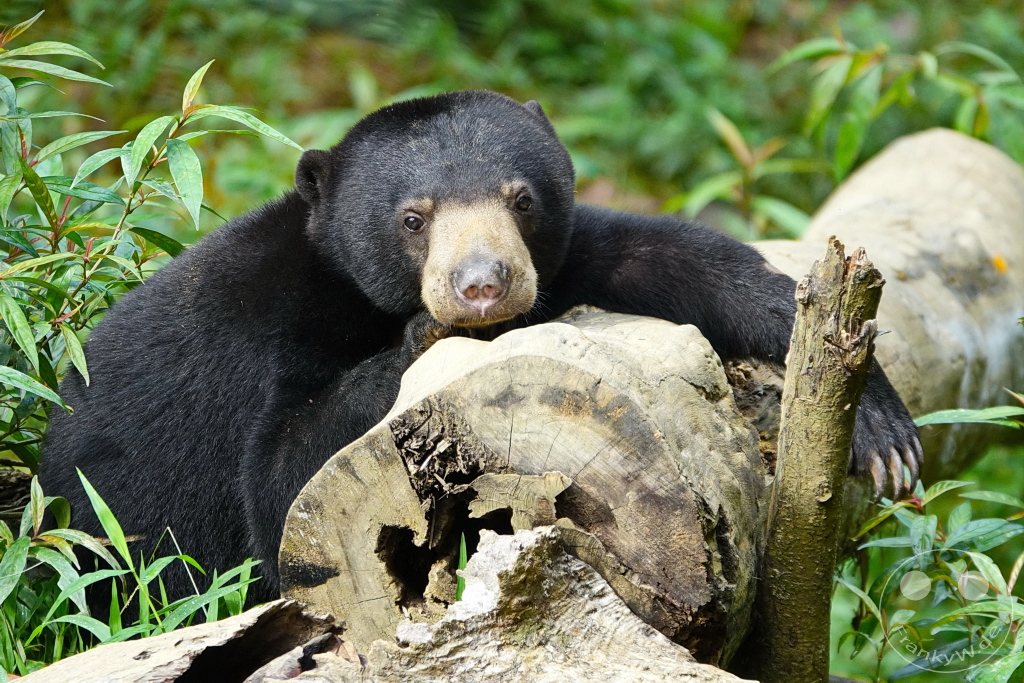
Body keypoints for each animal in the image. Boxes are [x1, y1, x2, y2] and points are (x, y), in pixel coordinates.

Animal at [39, 90, 921, 608]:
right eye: (412, 217)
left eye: (520, 199)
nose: (483, 284)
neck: (359, 298)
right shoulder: (284, 332)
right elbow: (279, 483)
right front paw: (427, 338)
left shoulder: (563, 259)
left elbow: (671, 259)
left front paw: (881, 431)